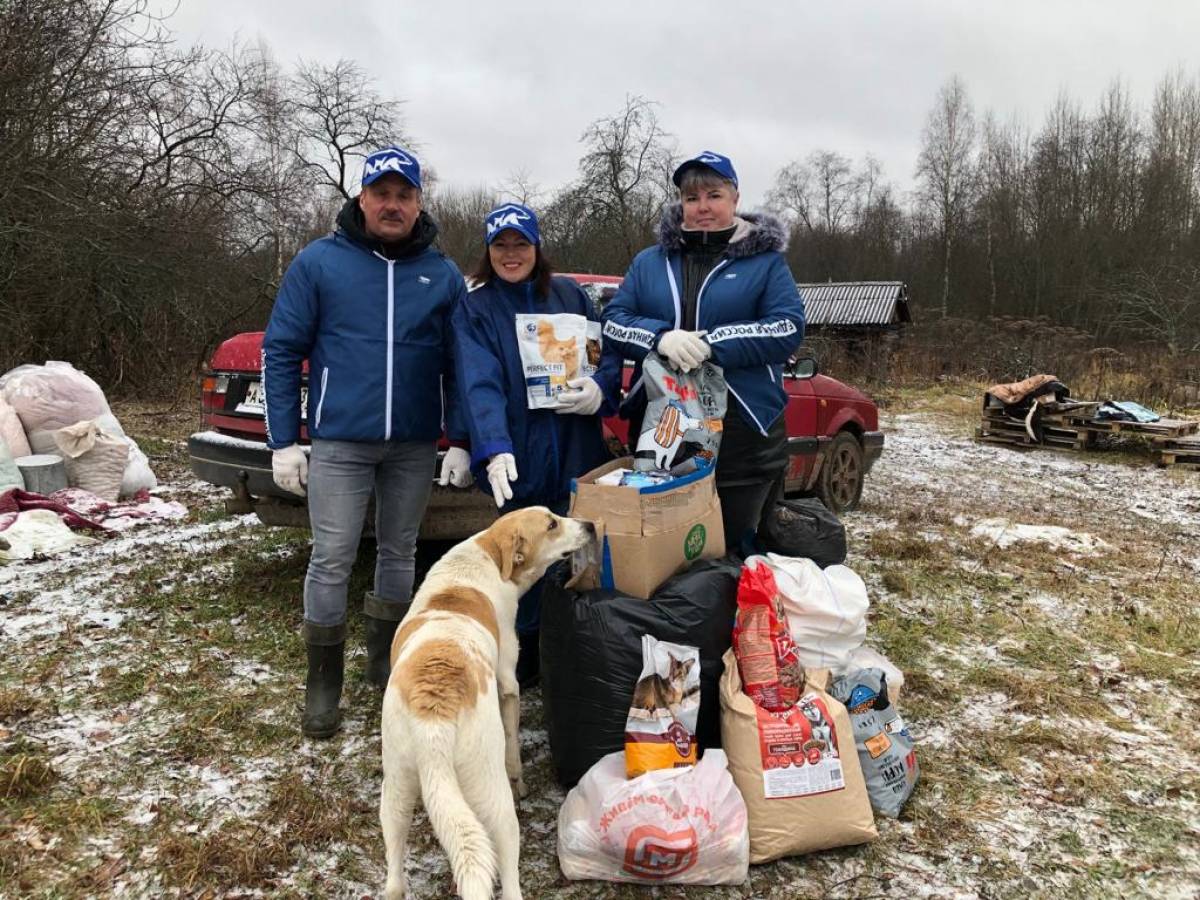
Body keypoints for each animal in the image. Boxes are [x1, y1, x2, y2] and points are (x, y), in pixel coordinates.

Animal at [381, 508, 592, 900]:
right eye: (552, 524)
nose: (589, 525)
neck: (488, 554)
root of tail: (435, 716)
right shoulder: (508, 685)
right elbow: (513, 750)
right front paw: (520, 780)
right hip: (493, 796)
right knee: (508, 875)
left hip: (395, 790)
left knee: (394, 879)